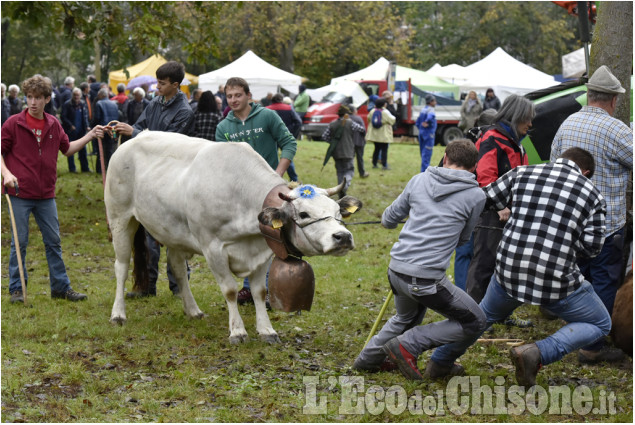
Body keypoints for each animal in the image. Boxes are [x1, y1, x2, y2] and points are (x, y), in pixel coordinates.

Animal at [105, 131, 362, 342]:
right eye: (304, 213)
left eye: (338, 212)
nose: (342, 237)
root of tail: (131, 139)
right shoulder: (213, 248)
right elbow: (229, 290)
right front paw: (237, 331)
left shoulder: (263, 250)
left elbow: (260, 291)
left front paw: (266, 330)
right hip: (119, 219)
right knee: (121, 266)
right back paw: (118, 314)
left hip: (173, 231)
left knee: (177, 268)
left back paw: (193, 310)